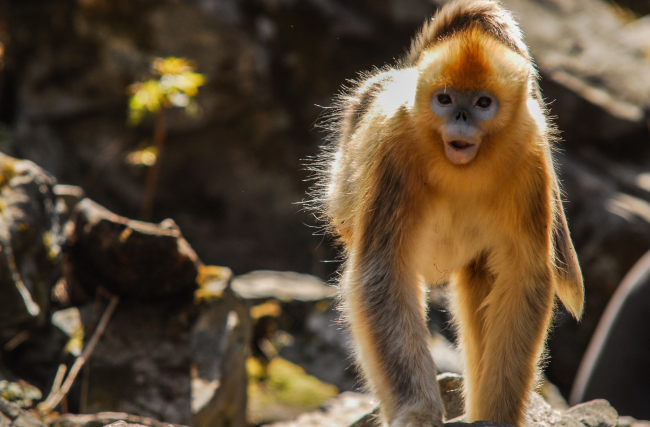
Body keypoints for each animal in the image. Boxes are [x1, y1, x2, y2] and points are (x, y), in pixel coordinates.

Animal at [308, 0, 584, 427]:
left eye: (482, 103)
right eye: (446, 99)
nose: (461, 119)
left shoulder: (531, 161)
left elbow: (525, 278)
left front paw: (499, 414)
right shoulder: (397, 150)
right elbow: (382, 275)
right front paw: (418, 413)